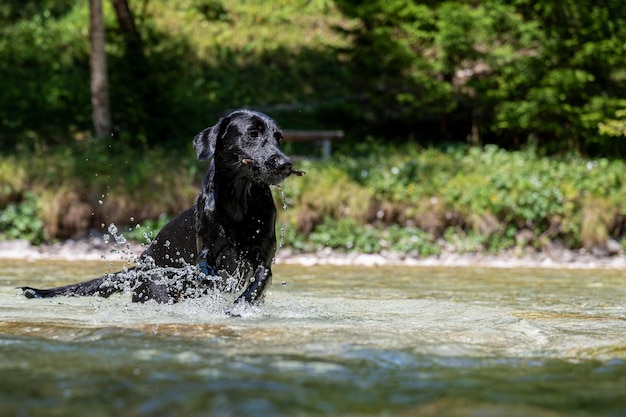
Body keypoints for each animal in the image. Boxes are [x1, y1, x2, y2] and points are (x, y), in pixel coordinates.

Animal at [20, 109, 302, 306]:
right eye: (253, 134)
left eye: (278, 137)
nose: (285, 164)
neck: (239, 201)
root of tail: (140, 266)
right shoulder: (207, 251)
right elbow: (207, 274)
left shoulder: (263, 257)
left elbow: (260, 280)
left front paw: (240, 306)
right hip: (155, 290)